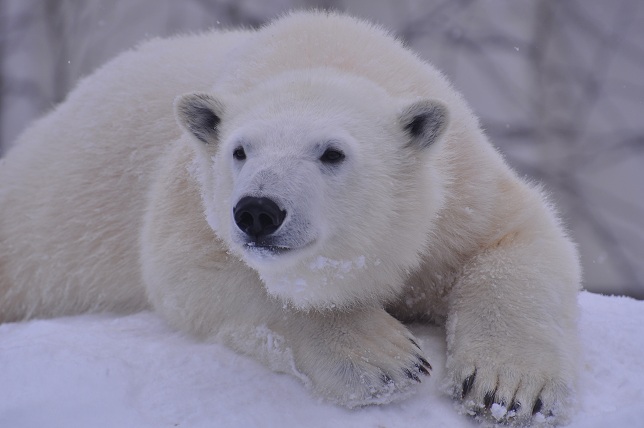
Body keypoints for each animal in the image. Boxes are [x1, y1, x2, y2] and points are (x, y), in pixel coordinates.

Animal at [0, 11, 580, 426]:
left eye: (332, 153)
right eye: (240, 150)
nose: (258, 211)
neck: (320, 56)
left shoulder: (460, 188)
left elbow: (517, 237)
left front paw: (507, 389)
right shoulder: (190, 192)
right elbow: (196, 271)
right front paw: (384, 358)